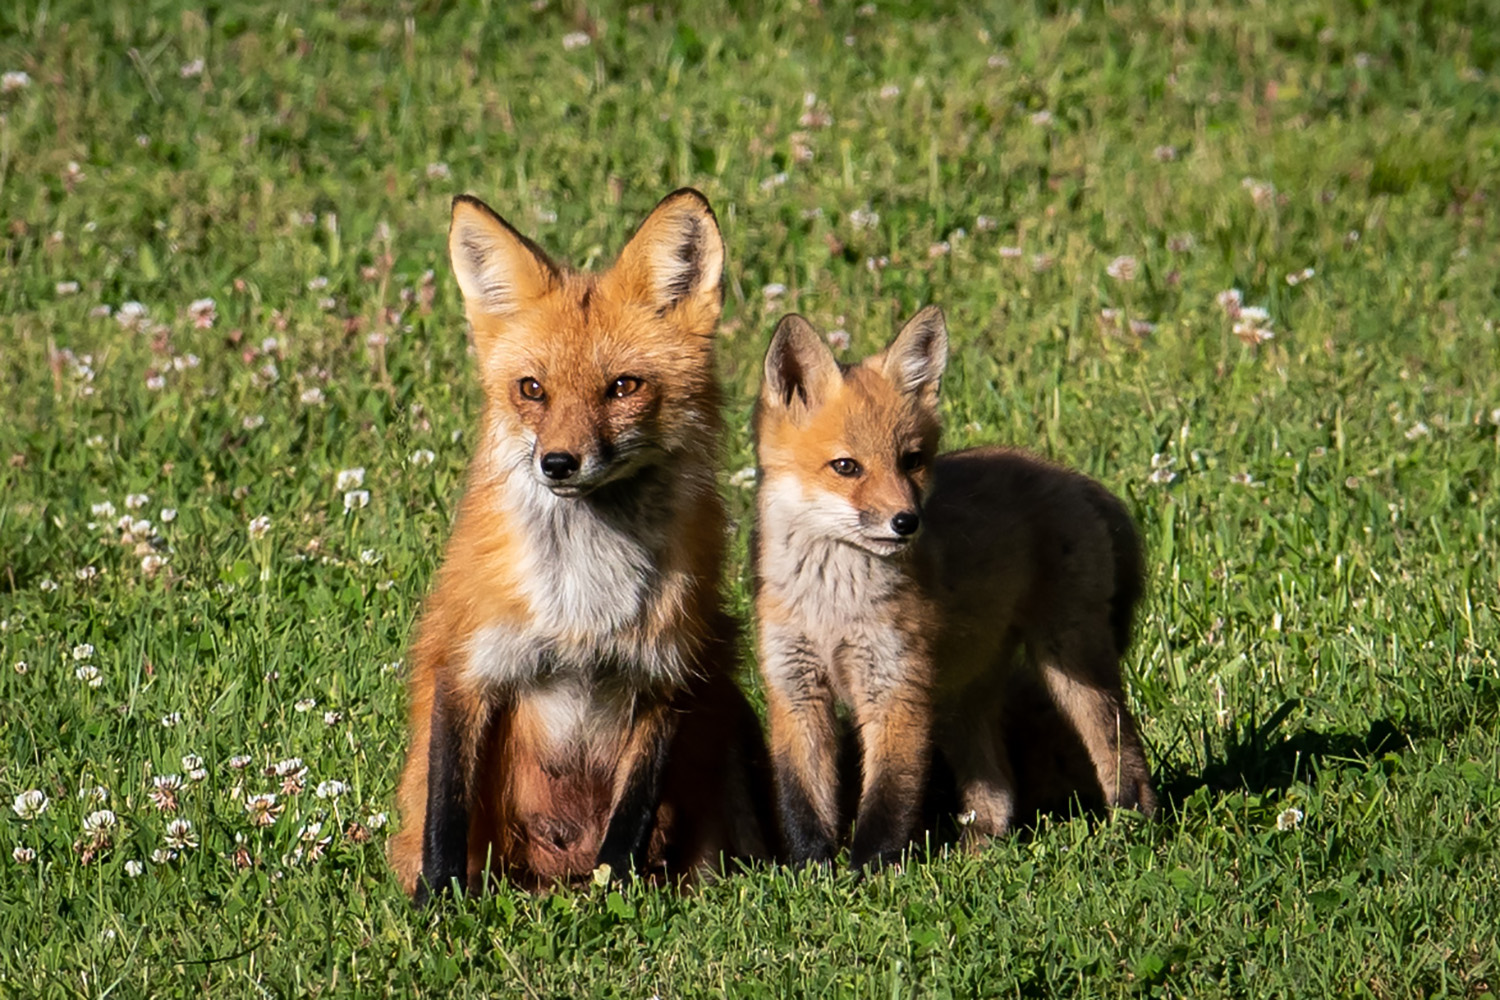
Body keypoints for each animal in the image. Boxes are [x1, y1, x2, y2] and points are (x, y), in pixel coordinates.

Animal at [389, 189, 769, 901]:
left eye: (623, 387)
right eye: (532, 389)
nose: (559, 463)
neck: (582, 601)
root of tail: (550, 876)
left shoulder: (666, 673)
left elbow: (628, 823)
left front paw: (615, 899)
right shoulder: (466, 663)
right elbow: (446, 811)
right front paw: (439, 904)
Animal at [752, 307, 1155, 868]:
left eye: (911, 460)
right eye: (846, 467)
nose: (907, 521)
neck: (832, 606)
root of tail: (1069, 475)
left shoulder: (895, 688)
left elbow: (887, 799)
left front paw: (868, 875)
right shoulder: (795, 687)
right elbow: (801, 798)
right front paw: (811, 872)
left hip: (1069, 664)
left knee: (1121, 748)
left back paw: (1134, 827)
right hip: (958, 694)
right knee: (998, 788)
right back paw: (979, 851)